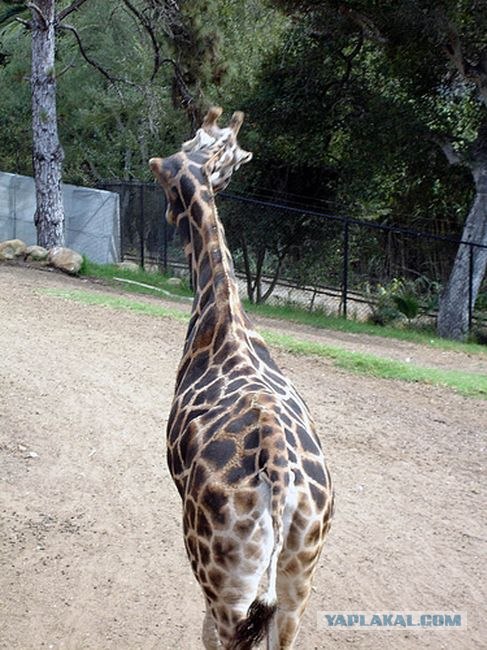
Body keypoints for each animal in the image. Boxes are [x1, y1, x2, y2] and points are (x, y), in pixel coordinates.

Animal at [149, 107, 333, 650]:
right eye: (223, 160)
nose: (169, 215)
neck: (222, 312)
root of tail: (281, 479)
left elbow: (204, 631)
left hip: (223, 573)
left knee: (221, 630)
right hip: (298, 575)